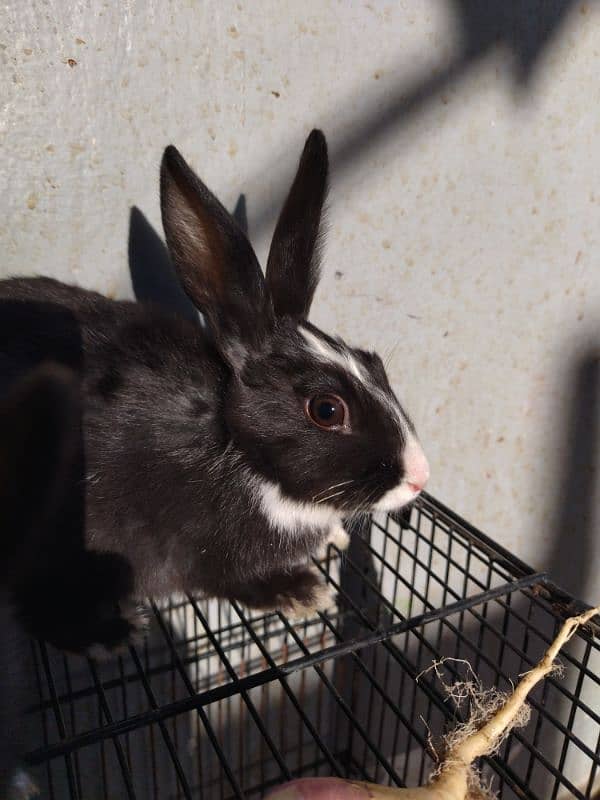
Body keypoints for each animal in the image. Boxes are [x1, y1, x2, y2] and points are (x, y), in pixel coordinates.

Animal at [0, 131, 432, 652]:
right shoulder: (195, 552)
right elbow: (231, 582)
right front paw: (305, 592)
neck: (239, 446)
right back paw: (113, 633)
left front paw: (335, 540)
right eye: (327, 410)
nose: (420, 476)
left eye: (375, 362)